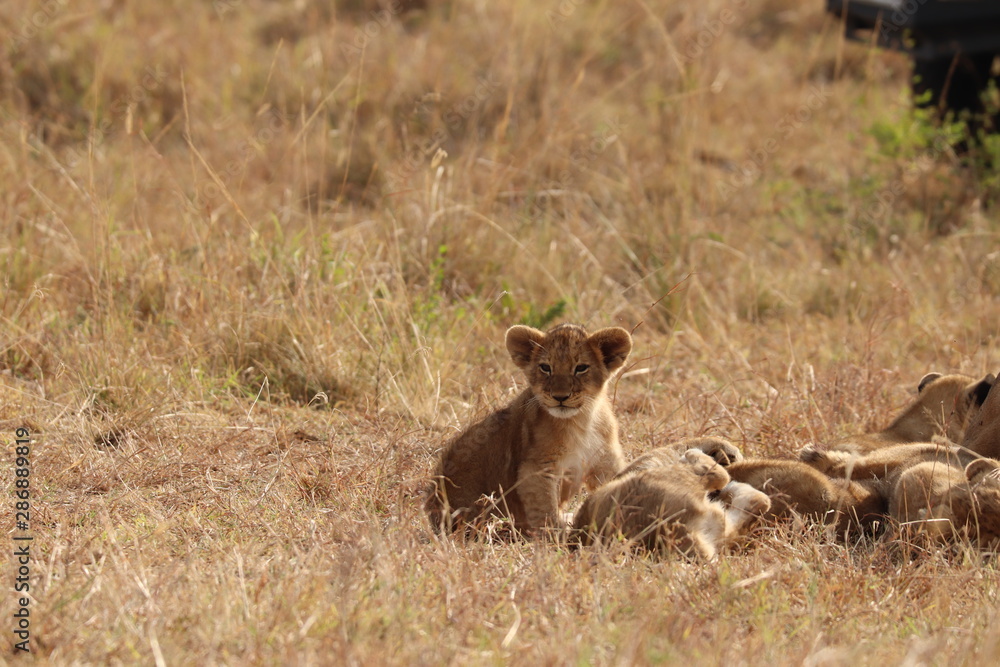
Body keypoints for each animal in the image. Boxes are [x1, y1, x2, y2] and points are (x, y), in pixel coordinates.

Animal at [425, 323, 633, 536]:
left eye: (581, 368)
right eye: (546, 368)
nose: (560, 397)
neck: (582, 420)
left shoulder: (604, 462)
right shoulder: (536, 469)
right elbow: (546, 511)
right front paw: (558, 538)